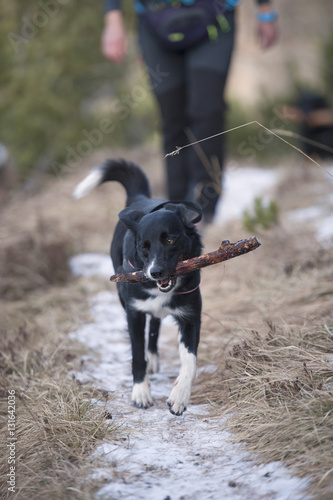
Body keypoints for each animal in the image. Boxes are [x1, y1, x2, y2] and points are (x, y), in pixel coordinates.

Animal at [73, 159, 202, 414]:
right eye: (144, 247)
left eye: (170, 240)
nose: (156, 272)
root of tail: (140, 198)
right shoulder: (134, 313)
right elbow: (137, 354)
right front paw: (141, 393)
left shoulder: (191, 316)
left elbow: (190, 361)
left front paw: (179, 396)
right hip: (124, 300)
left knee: (155, 324)